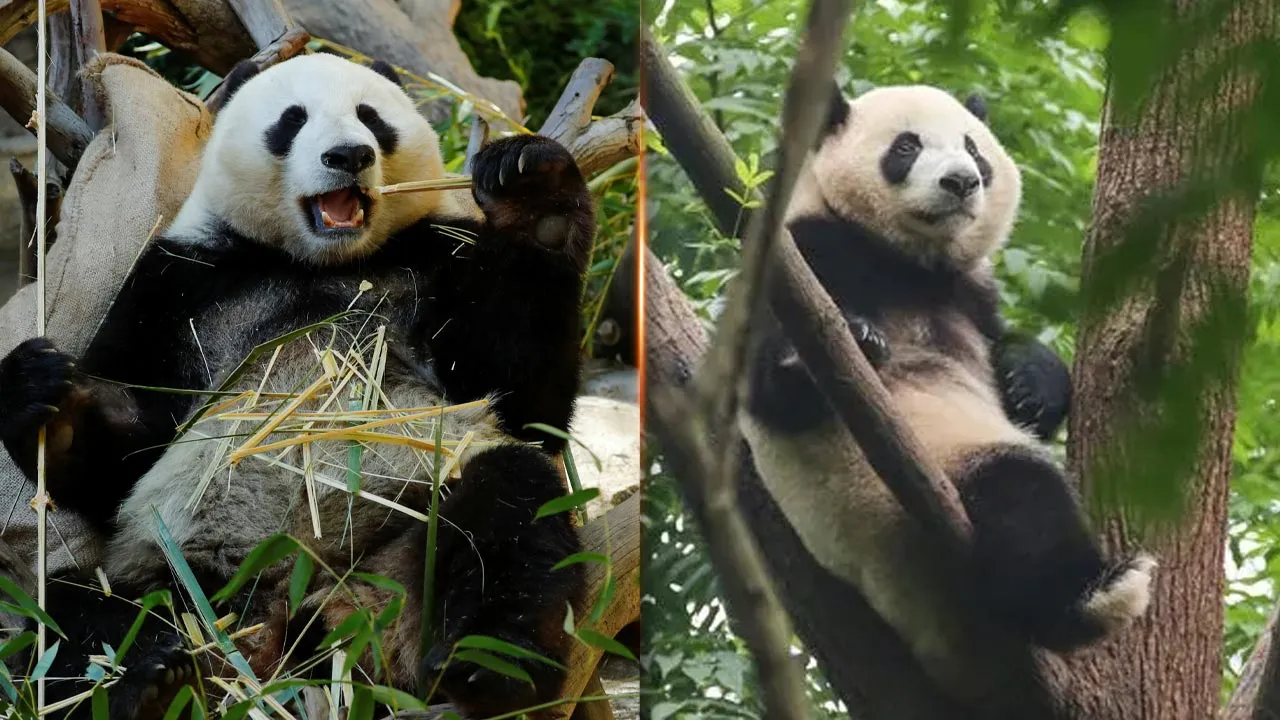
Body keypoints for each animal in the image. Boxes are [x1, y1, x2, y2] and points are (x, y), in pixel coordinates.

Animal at [0, 53, 592, 718]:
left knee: (510, 511)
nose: (349, 155)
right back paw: (152, 685)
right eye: (291, 120)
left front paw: (535, 197)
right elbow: (126, 456)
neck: (319, 261)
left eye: (370, 117)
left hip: (406, 533)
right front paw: (49, 399)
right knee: (77, 615)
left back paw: (490, 672)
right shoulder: (176, 282)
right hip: (171, 570)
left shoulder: (432, 259)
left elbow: (520, 402)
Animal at [738, 85, 1156, 698]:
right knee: (1022, 498)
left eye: (974, 148)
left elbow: (1012, 362)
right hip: (907, 490)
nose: (962, 181)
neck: (910, 261)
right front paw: (838, 346)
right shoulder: (804, 256)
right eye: (906, 147)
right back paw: (1096, 596)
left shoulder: (971, 293)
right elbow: (769, 385)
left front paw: (1031, 381)